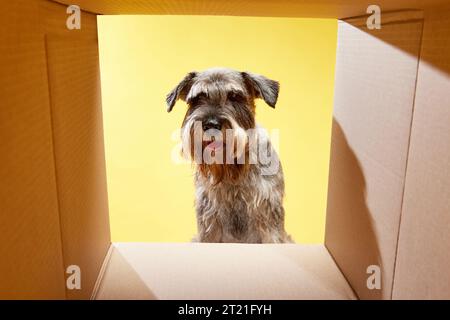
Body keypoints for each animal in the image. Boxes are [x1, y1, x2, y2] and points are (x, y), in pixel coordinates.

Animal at [166, 67, 292, 242]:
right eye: (197, 98)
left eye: (234, 97)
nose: (211, 124)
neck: (232, 171)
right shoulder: (208, 223)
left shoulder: (269, 219)